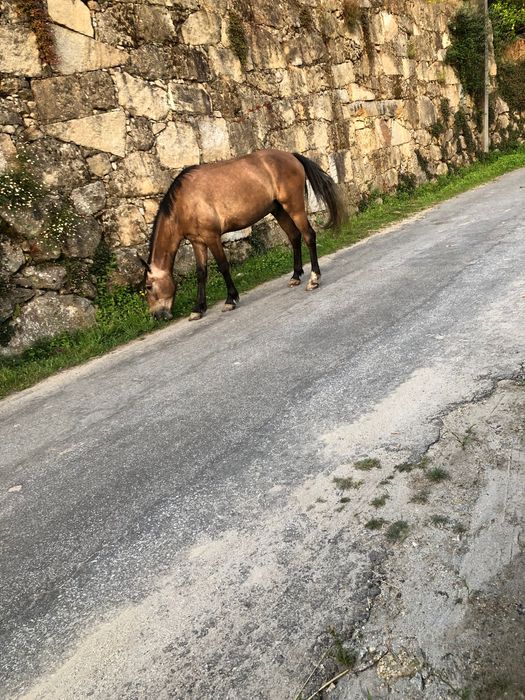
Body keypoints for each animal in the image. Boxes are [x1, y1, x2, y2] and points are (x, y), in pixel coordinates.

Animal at [142, 149, 345, 321]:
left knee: (309, 236)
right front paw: (198, 309)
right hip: (278, 210)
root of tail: (291, 155)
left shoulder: (211, 237)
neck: (183, 203)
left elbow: (223, 266)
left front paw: (230, 300)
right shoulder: (197, 242)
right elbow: (201, 273)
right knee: (294, 236)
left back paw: (314, 279)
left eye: (148, 286)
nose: (157, 315)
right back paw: (295, 276)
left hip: (294, 207)